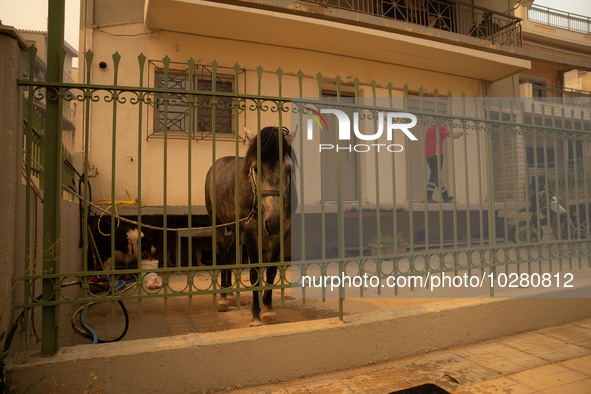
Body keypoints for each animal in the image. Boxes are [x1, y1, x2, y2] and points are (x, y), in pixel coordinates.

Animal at [205, 126, 296, 326]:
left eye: (289, 169)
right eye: (256, 168)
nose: (273, 220)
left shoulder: (283, 231)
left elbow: (271, 271)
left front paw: (268, 309)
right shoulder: (251, 231)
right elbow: (254, 273)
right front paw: (256, 315)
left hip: (234, 228)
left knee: (230, 254)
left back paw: (231, 295)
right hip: (219, 224)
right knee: (223, 255)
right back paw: (223, 299)